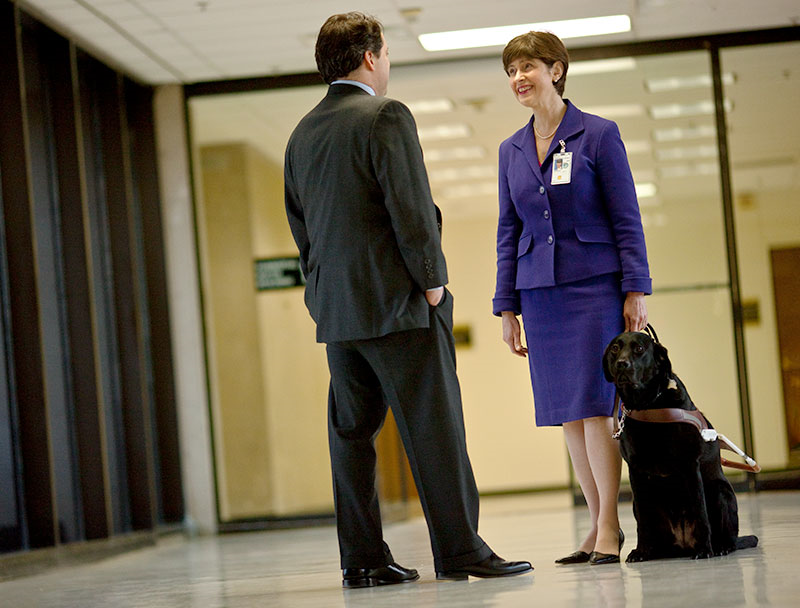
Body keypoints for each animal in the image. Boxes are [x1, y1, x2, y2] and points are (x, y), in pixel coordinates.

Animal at [608, 330, 756, 564]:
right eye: (615, 348)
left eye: (639, 348)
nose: (622, 364)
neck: (648, 405)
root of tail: (683, 545)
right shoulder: (635, 473)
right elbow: (643, 522)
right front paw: (641, 551)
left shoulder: (690, 465)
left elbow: (700, 511)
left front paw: (705, 549)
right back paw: (654, 551)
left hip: (720, 491)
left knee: (729, 538)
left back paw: (720, 546)